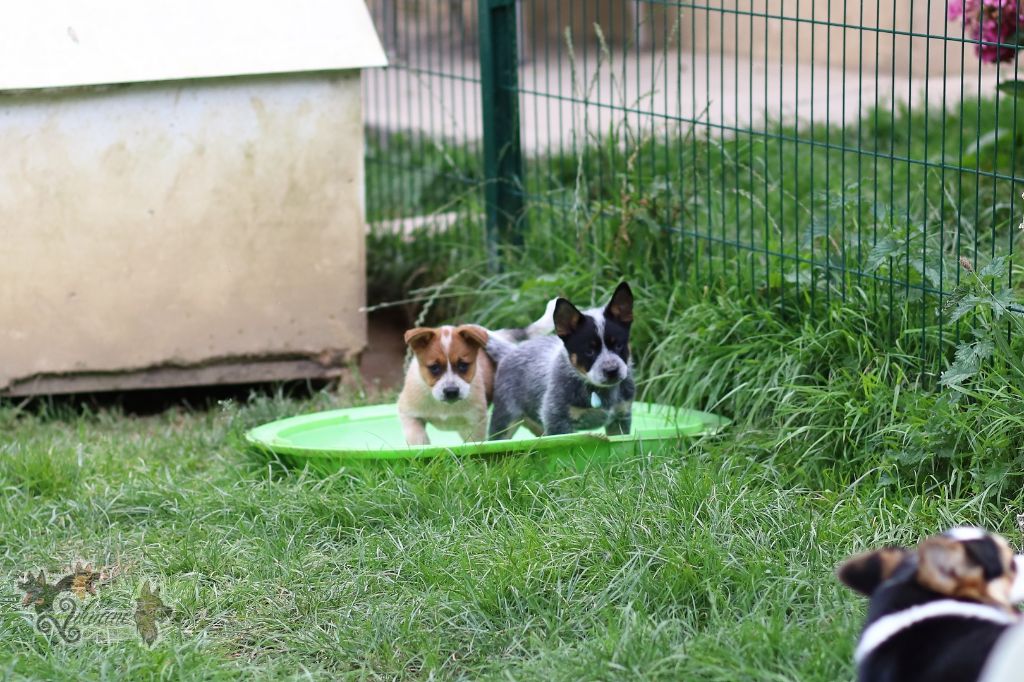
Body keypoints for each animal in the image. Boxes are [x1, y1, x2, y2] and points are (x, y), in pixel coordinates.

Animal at [485, 280, 634, 436]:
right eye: (589, 351)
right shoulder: (557, 421)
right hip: (504, 420)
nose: (612, 370)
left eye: (618, 345)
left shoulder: (621, 417)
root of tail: (511, 350)